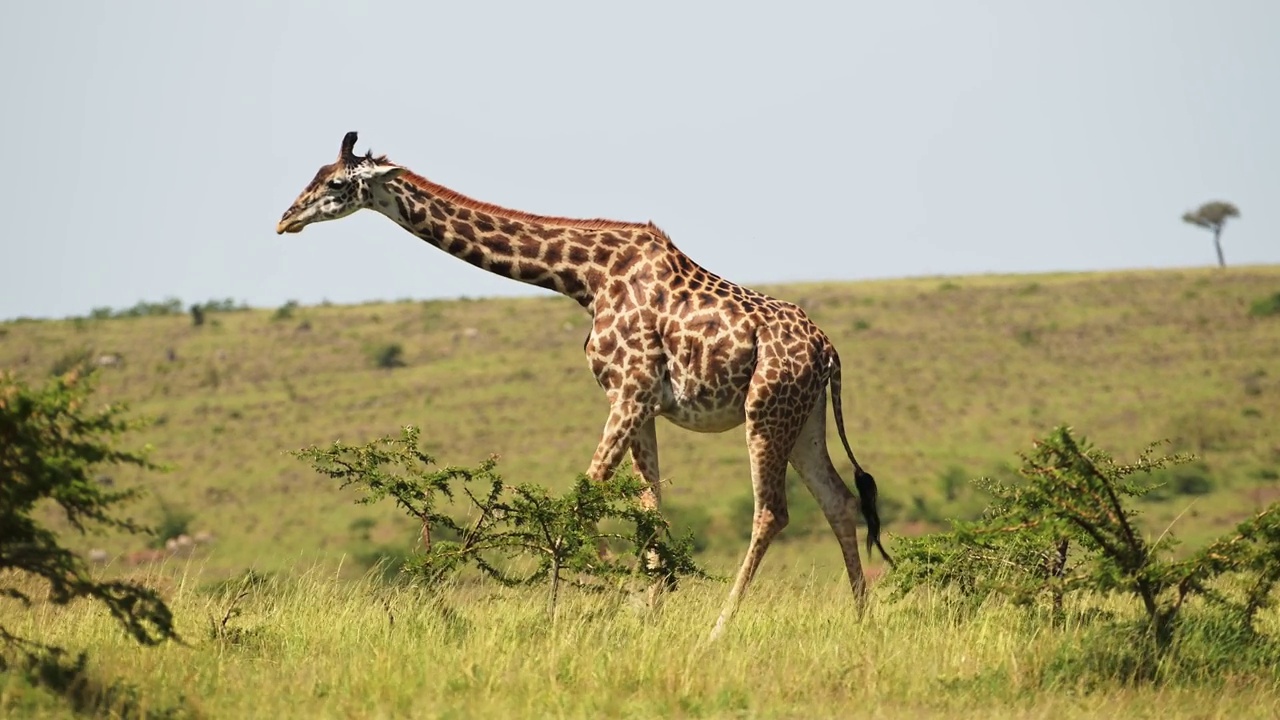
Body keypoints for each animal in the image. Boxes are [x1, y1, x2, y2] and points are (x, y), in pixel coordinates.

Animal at [276, 131, 890, 635]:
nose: (285, 219)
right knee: (837, 500)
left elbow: (584, 496)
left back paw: (719, 629)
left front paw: (595, 603)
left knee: (772, 511)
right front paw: (648, 611)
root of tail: (827, 351)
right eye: (314, 173)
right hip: (803, 420)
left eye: (335, 182)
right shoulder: (642, 402)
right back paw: (861, 619)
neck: (583, 278)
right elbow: (648, 509)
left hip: (765, 411)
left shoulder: (631, 390)